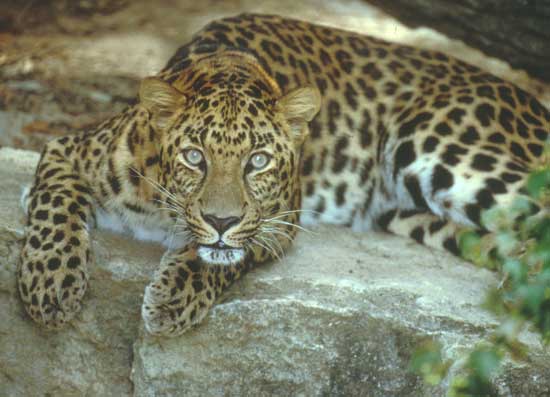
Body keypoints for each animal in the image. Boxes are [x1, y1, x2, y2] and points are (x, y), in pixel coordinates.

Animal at [17, 13, 550, 334]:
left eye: (258, 160)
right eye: (194, 156)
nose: (220, 220)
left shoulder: (280, 218)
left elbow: (222, 258)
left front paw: (172, 299)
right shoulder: (68, 149)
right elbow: (53, 208)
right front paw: (50, 286)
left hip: (433, 141)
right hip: (412, 215)